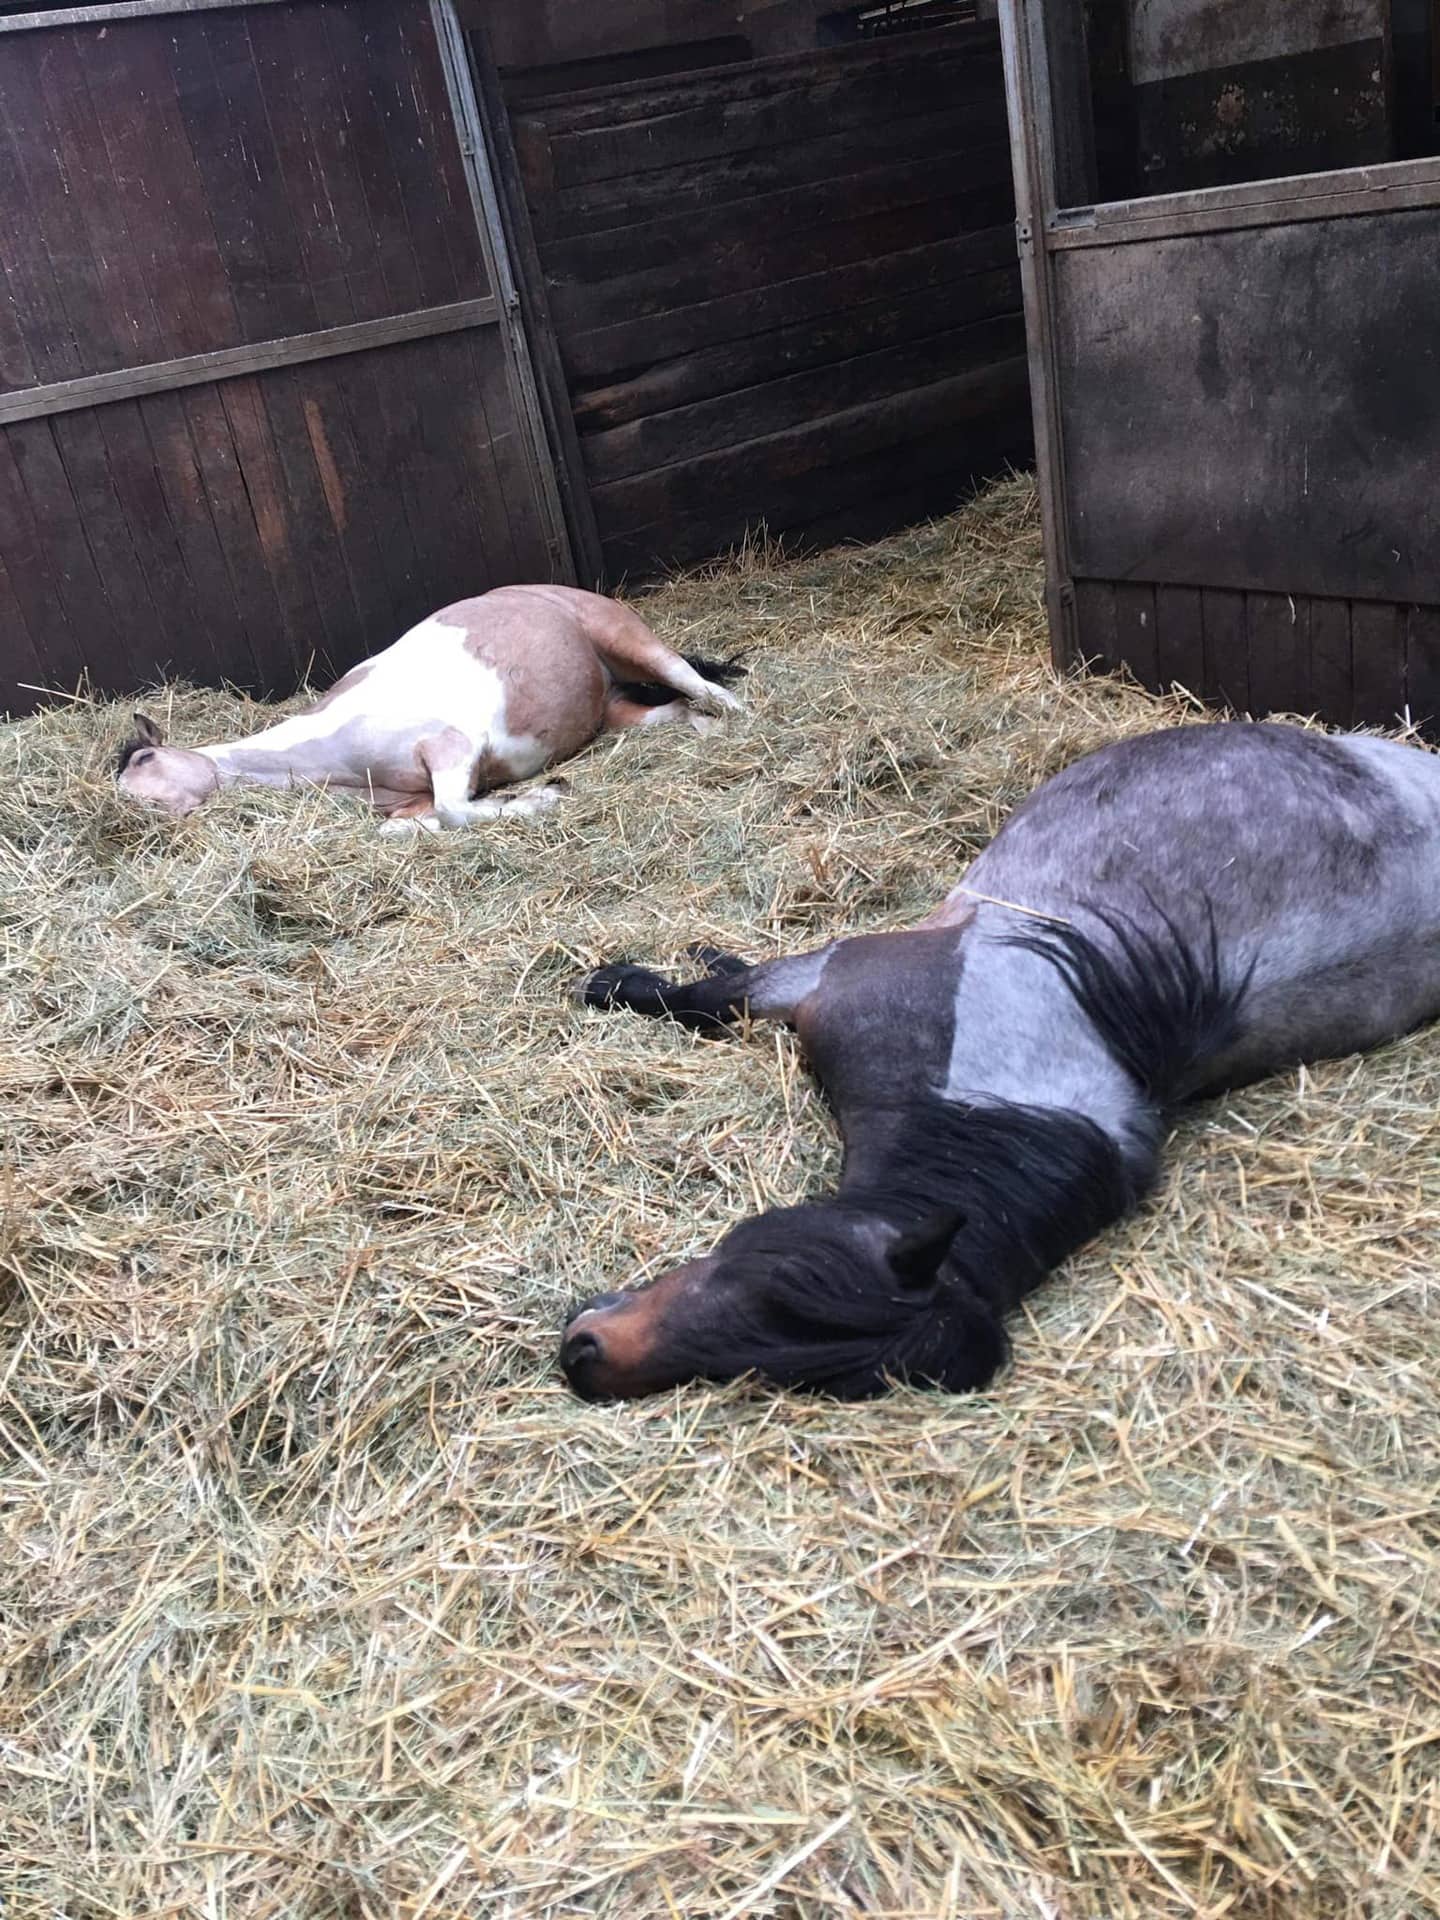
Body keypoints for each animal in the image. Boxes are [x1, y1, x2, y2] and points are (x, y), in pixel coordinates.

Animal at [115, 579, 744, 829]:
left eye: (145, 760)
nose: (130, 815)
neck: (335, 745)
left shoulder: (453, 749)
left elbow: (454, 810)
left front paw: (543, 797)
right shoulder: (404, 803)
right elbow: (406, 828)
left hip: (629, 641)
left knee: (704, 687)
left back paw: (743, 720)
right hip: (613, 708)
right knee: (676, 713)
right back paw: (705, 733)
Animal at [560, 718, 1440, 1397]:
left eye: (788, 1347)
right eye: (770, 1283)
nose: (584, 1358)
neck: (984, 1093)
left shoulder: (827, 976)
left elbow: (710, 1000)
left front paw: (627, 981)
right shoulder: (825, 970)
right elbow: (711, 996)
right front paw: (632, 979)